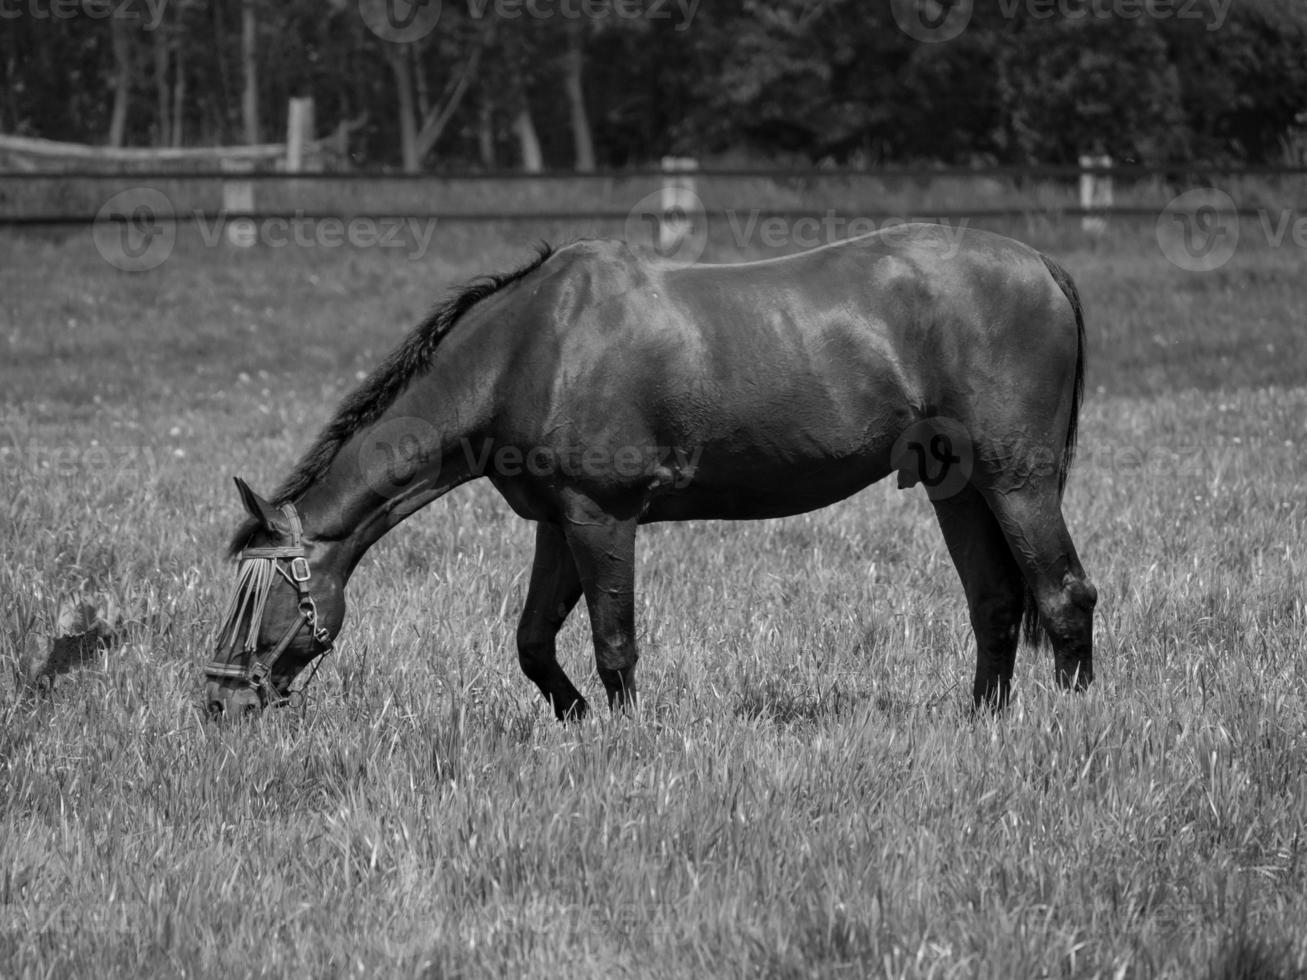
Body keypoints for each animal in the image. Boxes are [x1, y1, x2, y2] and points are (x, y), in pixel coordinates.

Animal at [203, 224, 1097, 721]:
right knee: (995, 602)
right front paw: (572, 718)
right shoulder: (559, 523)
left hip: (1016, 481)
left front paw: (624, 734)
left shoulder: (603, 518)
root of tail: (1044, 267)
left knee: (1063, 594)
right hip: (958, 489)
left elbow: (614, 642)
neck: (530, 349)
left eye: (257, 597)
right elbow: (532, 642)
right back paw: (983, 722)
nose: (218, 701)